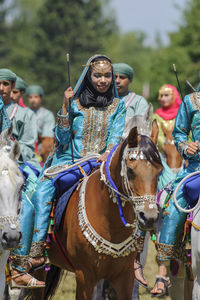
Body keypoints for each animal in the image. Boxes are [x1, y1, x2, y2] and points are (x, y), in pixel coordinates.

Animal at [30, 120, 162, 298]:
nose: (149, 217)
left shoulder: (124, 276)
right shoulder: (84, 276)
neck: (111, 222)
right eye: (130, 171)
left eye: (159, 171)